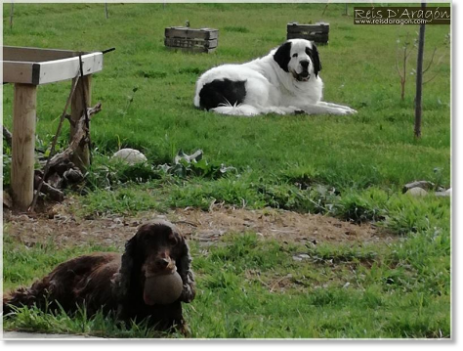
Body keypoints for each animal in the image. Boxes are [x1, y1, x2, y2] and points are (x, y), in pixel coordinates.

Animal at [194, 38, 358, 117]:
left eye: (309, 53)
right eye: (295, 55)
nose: (305, 63)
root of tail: (203, 88)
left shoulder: (310, 99)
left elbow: (328, 104)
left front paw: (348, 108)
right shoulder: (303, 102)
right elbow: (323, 108)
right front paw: (343, 112)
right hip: (258, 83)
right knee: (258, 109)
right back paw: (288, 111)